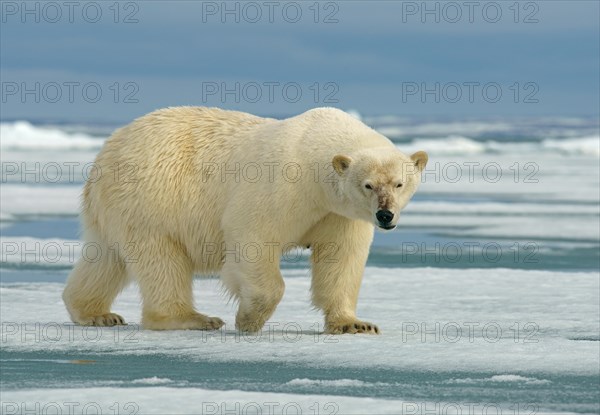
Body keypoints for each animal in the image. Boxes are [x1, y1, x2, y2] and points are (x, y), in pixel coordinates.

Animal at [62, 107, 426, 334]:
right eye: (368, 185)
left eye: (399, 183)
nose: (385, 215)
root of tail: (107, 151)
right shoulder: (283, 184)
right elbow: (253, 238)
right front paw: (248, 319)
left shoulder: (337, 212)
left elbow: (340, 258)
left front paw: (355, 324)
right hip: (152, 199)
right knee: (161, 260)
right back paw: (193, 318)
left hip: (119, 209)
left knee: (105, 258)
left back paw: (96, 313)